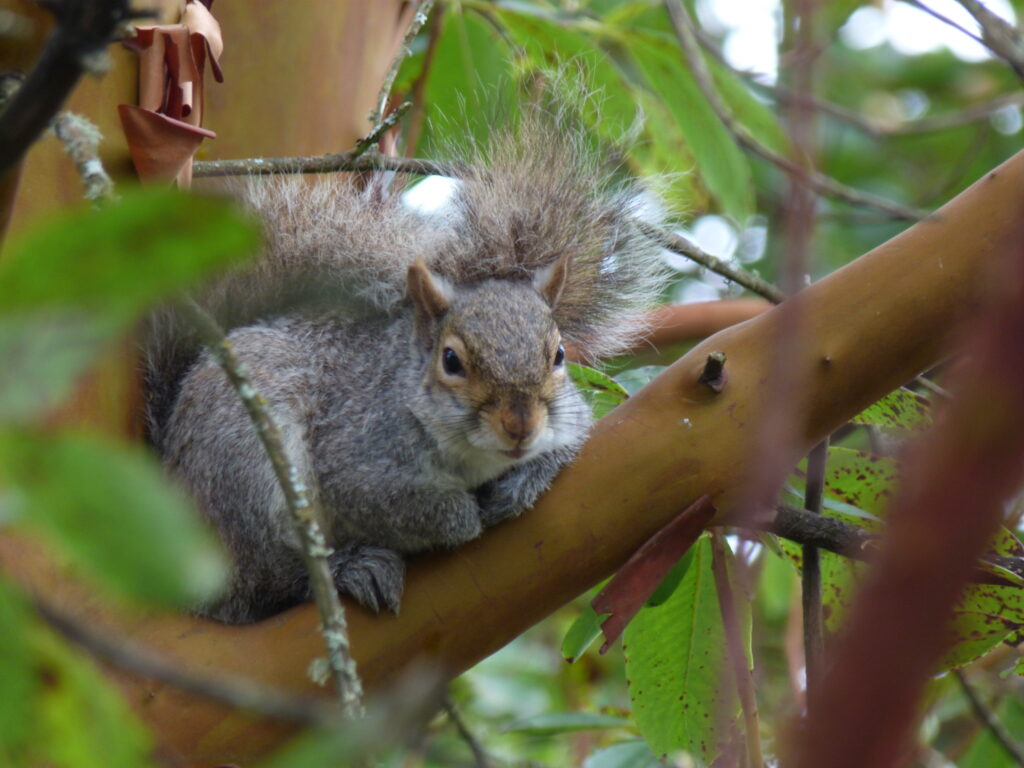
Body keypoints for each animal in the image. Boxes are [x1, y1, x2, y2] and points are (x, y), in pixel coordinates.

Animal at [144, 118, 671, 626]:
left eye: (559, 355)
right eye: (451, 360)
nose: (520, 426)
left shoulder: (572, 422)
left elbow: (568, 444)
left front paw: (521, 483)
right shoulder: (355, 459)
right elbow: (391, 503)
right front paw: (460, 516)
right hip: (241, 457)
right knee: (267, 578)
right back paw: (346, 568)